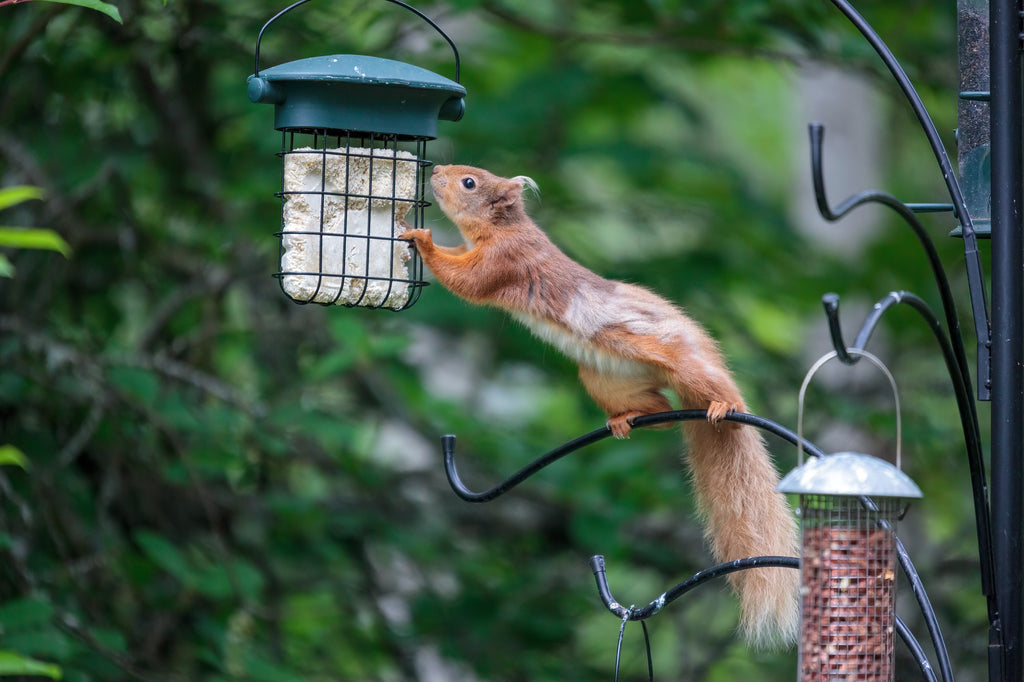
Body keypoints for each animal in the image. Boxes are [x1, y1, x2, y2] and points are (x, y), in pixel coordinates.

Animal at [399, 161, 798, 647]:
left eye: (470, 181)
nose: (436, 168)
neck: (500, 230)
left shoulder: (505, 263)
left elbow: (467, 283)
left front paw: (421, 239)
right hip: (605, 379)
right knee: (659, 411)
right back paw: (627, 420)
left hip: (676, 362)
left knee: (716, 389)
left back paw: (724, 406)